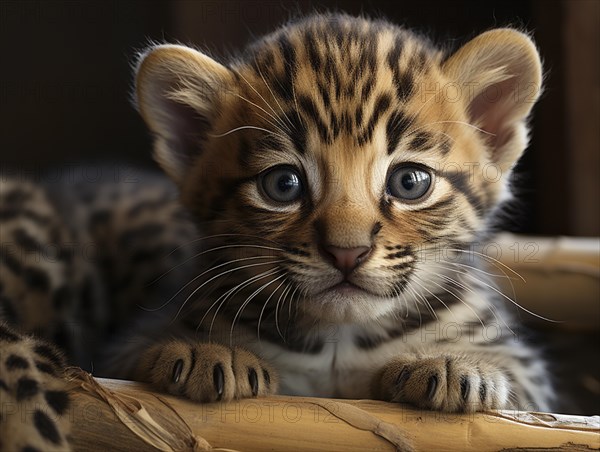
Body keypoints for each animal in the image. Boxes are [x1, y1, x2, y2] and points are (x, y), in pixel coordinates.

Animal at [0, 12, 552, 450]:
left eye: (409, 182)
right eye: (283, 185)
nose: (346, 252)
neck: (339, 339)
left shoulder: (533, 383)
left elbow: (520, 384)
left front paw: (459, 366)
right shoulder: (121, 350)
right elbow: (141, 358)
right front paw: (206, 352)